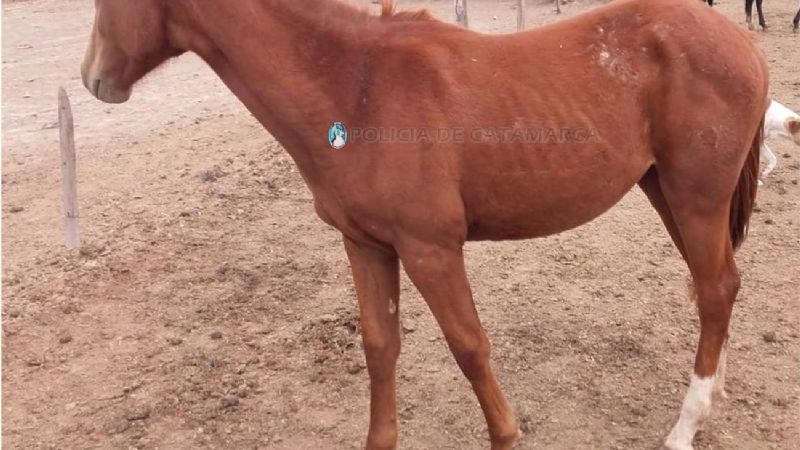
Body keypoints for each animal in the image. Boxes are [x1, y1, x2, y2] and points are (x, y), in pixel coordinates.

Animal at [80, 0, 769, 448]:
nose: (93, 79)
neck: (355, 88)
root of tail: (739, 42)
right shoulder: (366, 245)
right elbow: (380, 347)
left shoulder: (430, 250)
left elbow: (469, 347)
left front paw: (506, 435)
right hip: (668, 193)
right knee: (721, 286)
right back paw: (712, 395)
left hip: (695, 198)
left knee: (714, 290)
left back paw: (685, 425)